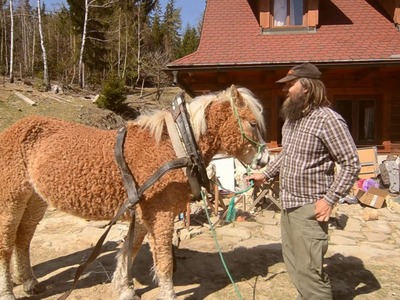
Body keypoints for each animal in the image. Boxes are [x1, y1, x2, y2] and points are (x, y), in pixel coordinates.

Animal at [0, 85, 266, 300]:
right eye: (253, 123)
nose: (264, 160)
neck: (175, 145)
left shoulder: (142, 212)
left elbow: (130, 249)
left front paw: (124, 287)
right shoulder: (161, 213)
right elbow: (163, 259)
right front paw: (166, 294)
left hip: (35, 199)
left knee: (23, 237)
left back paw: (29, 282)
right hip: (11, 199)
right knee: (6, 244)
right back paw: (8, 291)